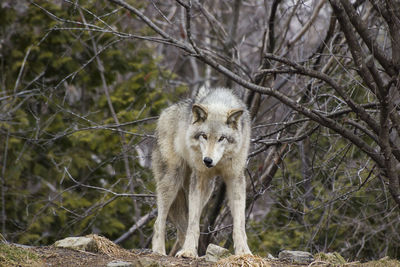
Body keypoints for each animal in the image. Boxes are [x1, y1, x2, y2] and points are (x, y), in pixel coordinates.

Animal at [152, 87, 252, 258]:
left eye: (222, 138)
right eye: (204, 136)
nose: (207, 160)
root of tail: (164, 113)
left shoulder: (235, 178)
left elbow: (239, 223)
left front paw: (244, 252)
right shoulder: (199, 177)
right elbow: (193, 223)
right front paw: (188, 252)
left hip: (207, 189)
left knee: (182, 227)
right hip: (173, 179)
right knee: (160, 221)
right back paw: (159, 251)